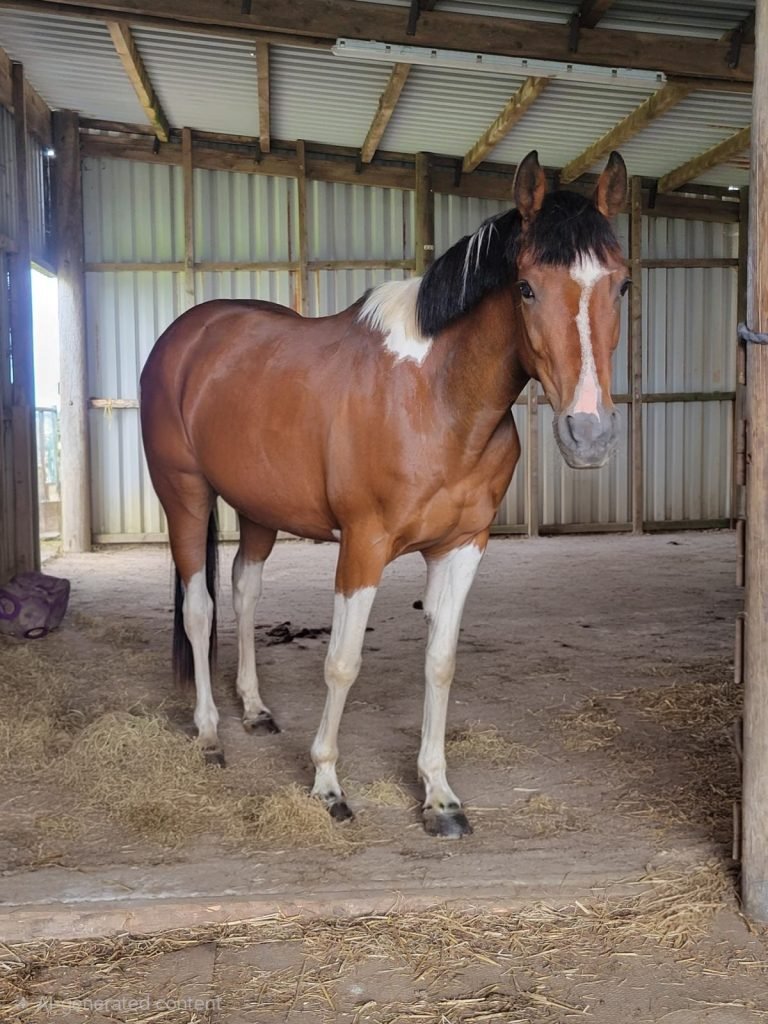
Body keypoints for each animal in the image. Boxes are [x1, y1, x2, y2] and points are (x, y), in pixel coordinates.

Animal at [140, 149, 629, 838]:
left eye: (622, 285)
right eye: (527, 287)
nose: (589, 434)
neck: (435, 398)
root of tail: (185, 337)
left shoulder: (463, 546)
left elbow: (440, 663)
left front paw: (439, 796)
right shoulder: (363, 547)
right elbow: (342, 663)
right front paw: (327, 785)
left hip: (259, 507)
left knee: (243, 589)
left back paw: (255, 709)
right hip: (185, 495)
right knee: (199, 607)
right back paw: (210, 735)